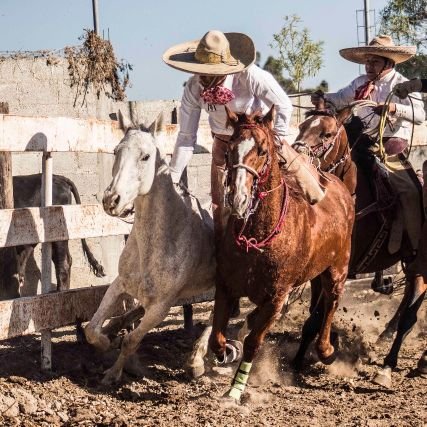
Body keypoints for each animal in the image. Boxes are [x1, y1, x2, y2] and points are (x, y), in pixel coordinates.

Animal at [209, 106, 356, 402]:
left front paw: (235, 390)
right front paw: (227, 350)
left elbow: (253, 342)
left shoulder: (276, 299)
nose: (238, 198)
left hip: (338, 268)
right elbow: (216, 339)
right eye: (230, 149)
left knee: (331, 302)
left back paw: (326, 350)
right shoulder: (226, 287)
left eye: (263, 150)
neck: (257, 237)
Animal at [294, 108, 427, 390]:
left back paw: (393, 364)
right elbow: (314, 315)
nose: (296, 155)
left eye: (327, 134)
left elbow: (315, 317)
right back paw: (386, 337)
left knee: (412, 308)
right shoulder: (319, 271)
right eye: (302, 126)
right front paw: (307, 354)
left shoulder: (339, 269)